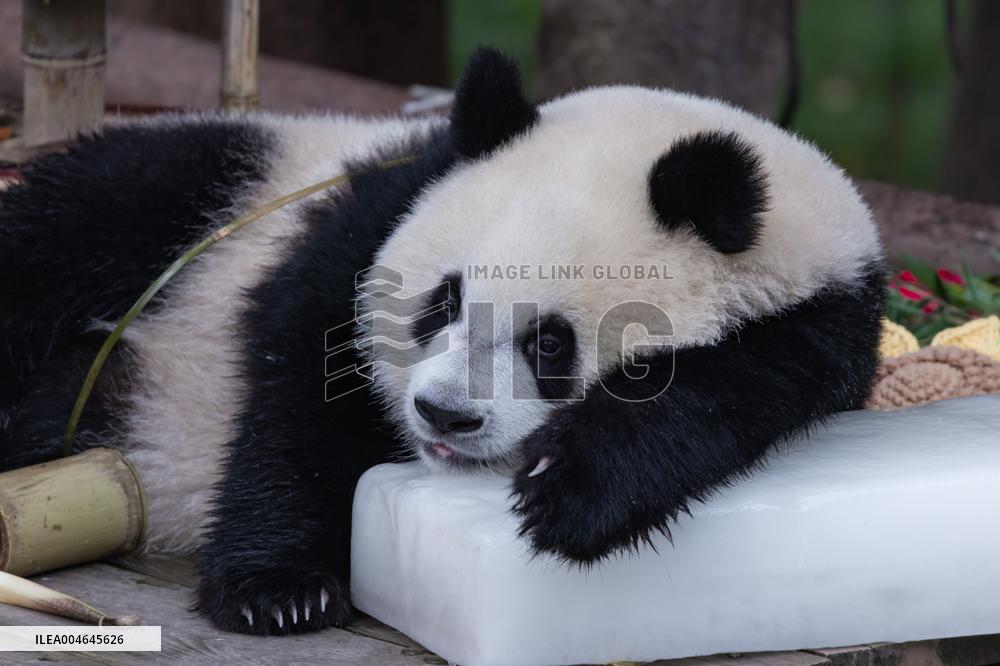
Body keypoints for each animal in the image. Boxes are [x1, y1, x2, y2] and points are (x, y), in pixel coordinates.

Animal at [0, 48, 884, 635]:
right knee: (76, 222)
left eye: (551, 344)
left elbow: (716, 399)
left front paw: (569, 491)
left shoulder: (811, 331)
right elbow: (301, 388)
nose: (445, 415)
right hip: (220, 182)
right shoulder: (369, 210)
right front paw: (278, 587)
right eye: (443, 300)